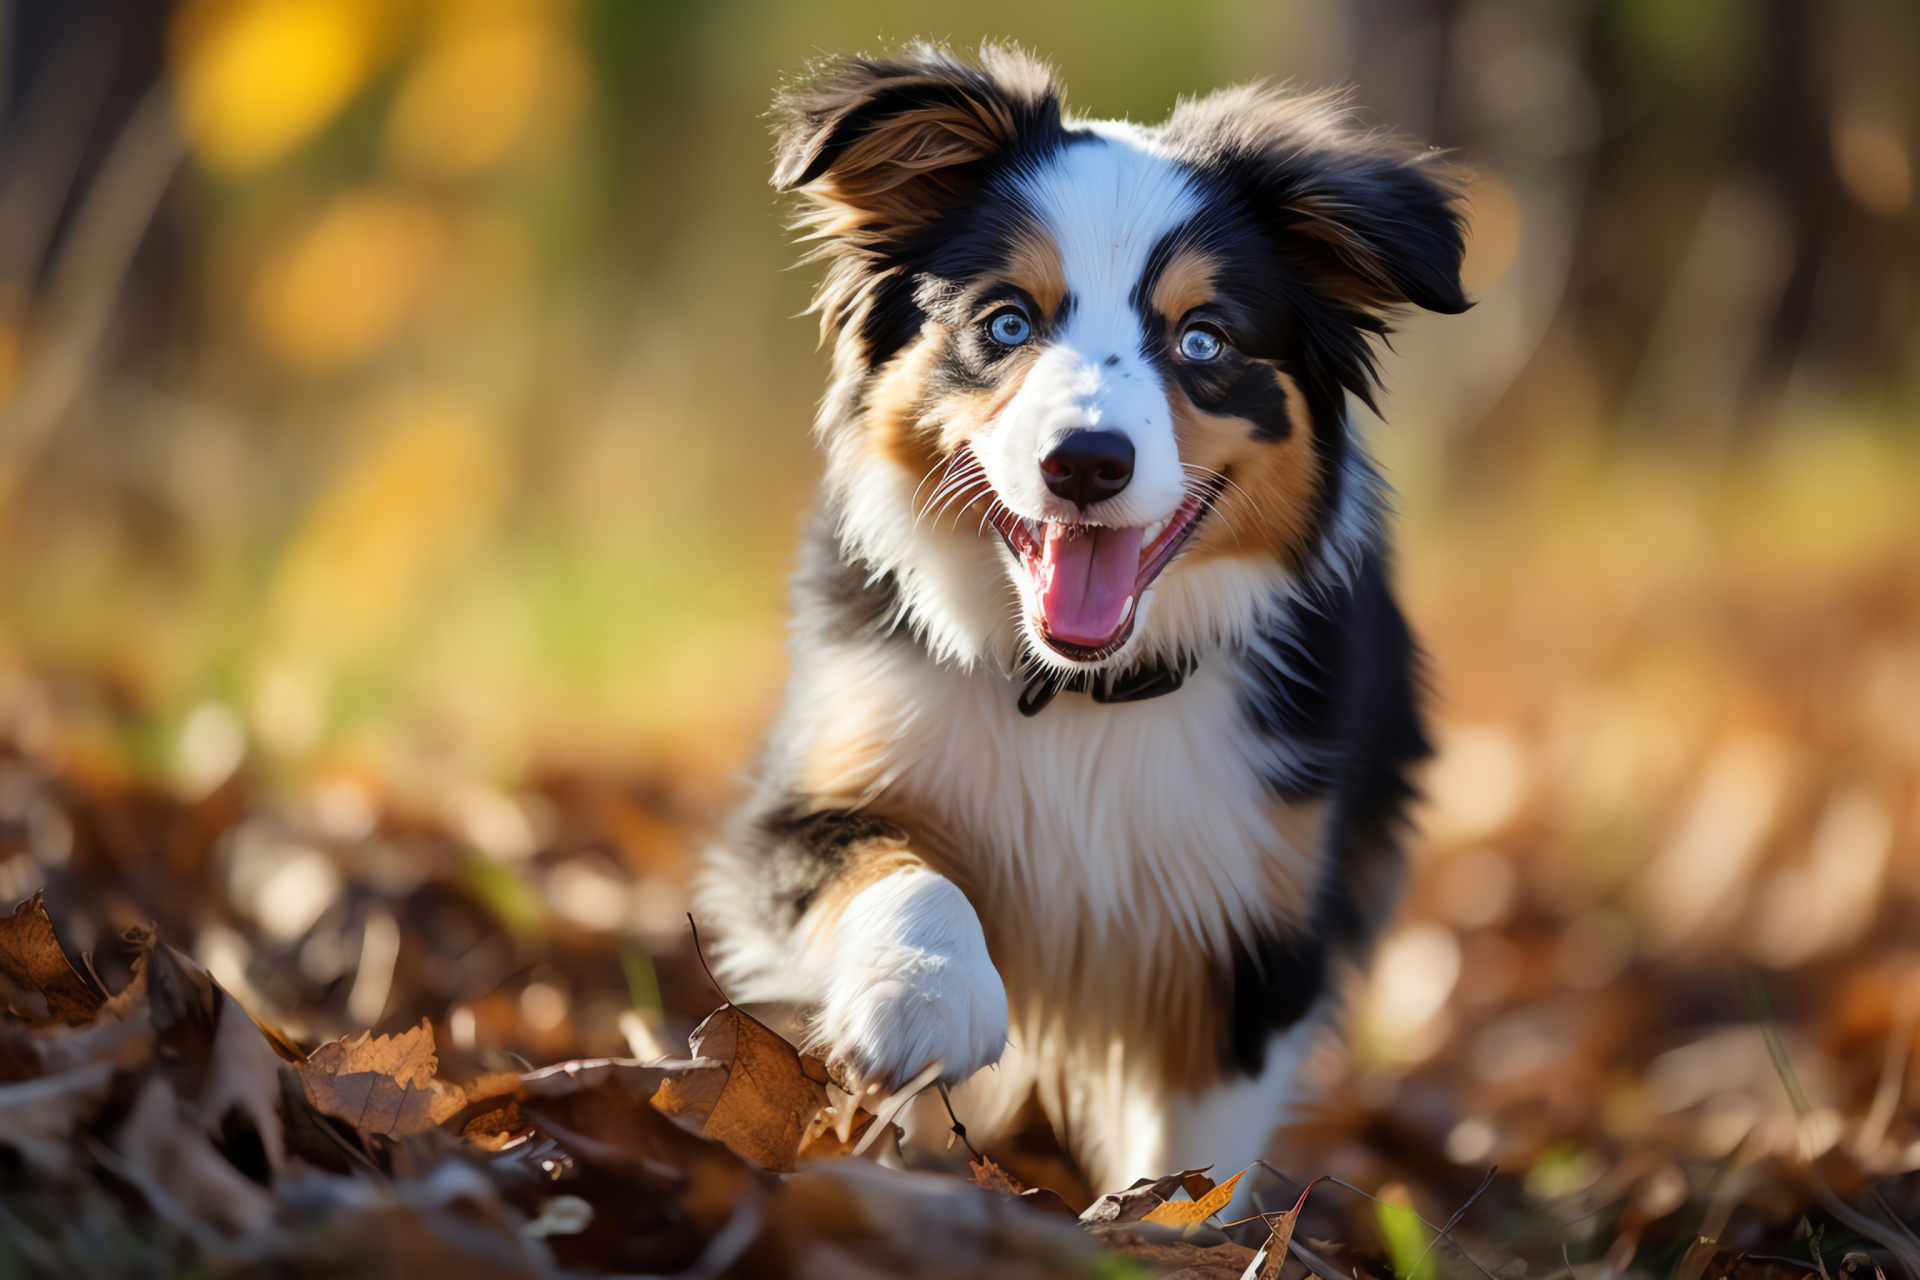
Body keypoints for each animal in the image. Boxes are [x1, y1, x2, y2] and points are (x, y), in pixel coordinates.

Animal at [698, 45, 1459, 1197]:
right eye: (1007, 322)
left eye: (1204, 339)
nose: (1087, 464)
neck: (1075, 692)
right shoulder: (799, 800)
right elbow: (898, 868)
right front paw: (922, 994)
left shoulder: (1255, 930)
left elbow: (1194, 1158)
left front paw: (1158, 1218)